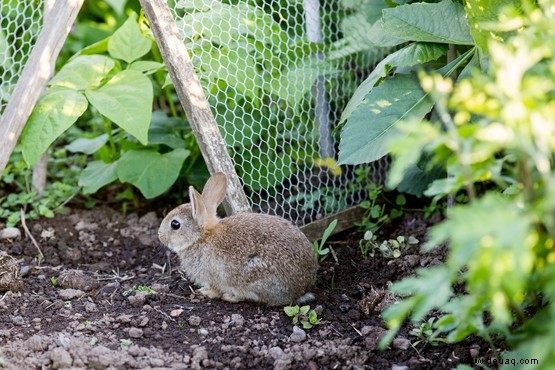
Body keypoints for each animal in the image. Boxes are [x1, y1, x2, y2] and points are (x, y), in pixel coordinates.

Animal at [159, 173, 320, 306]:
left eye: (175, 224)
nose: (160, 236)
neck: (201, 237)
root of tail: (302, 290)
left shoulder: (213, 277)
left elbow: (214, 290)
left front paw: (205, 292)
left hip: (253, 280)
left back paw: (229, 297)